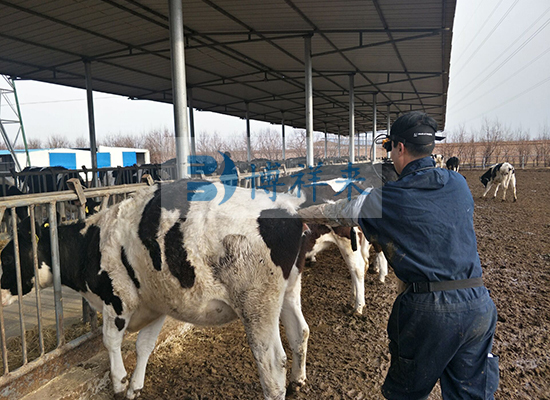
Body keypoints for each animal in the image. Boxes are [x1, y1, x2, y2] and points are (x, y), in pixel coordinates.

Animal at [1, 180, 310, 398]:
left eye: (6, 258)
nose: (1, 294)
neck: (91, 243)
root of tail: (287, 207)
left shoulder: (117, 300)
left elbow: (110, 342)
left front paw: (119, 383)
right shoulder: (157, 304)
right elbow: (144, 346)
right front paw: (135, 387)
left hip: (257, 304)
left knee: (272, 361)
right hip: (289, 291)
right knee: (300, 332)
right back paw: (298, 381)